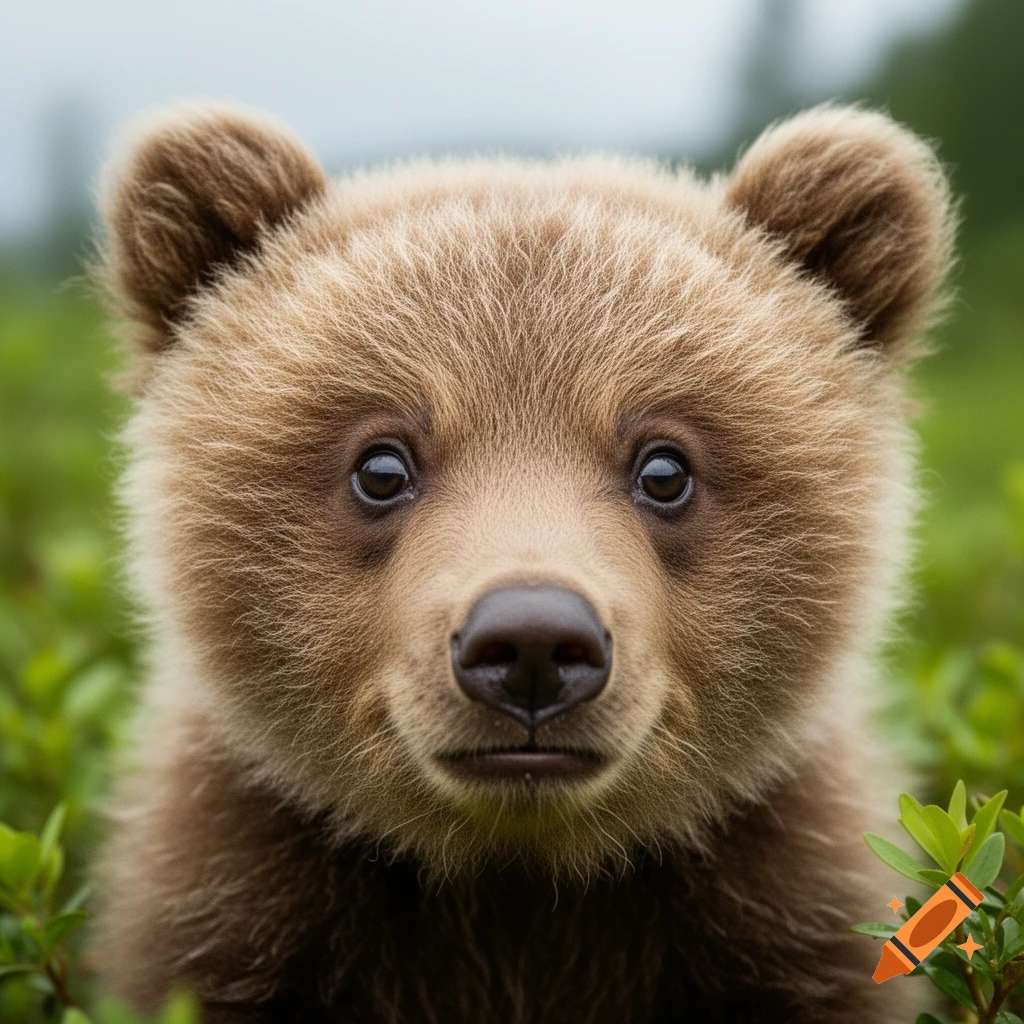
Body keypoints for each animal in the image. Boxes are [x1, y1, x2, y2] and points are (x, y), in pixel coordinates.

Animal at [93, 101, 955, 1023]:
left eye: (665, 468)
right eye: (382, 465)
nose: (534, 642)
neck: (518, 888)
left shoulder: (786, 918)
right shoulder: (236, 907)